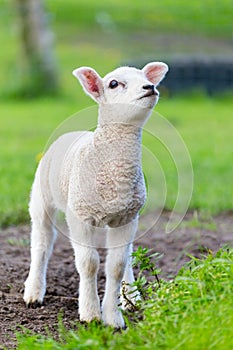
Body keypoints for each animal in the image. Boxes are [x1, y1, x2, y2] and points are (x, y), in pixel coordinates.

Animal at [23, 62, 168, 328]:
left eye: (146, 78)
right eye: (113, 84)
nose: (149, 87)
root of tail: (75, 132)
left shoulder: (127, 218)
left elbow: (117, 265)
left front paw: (113, 317)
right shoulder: (80, 216)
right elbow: (89, 264)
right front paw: (90, 314)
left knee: (127, 255)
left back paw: (131, 296)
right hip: (41, 198)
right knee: (41, 241)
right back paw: (34, 292)